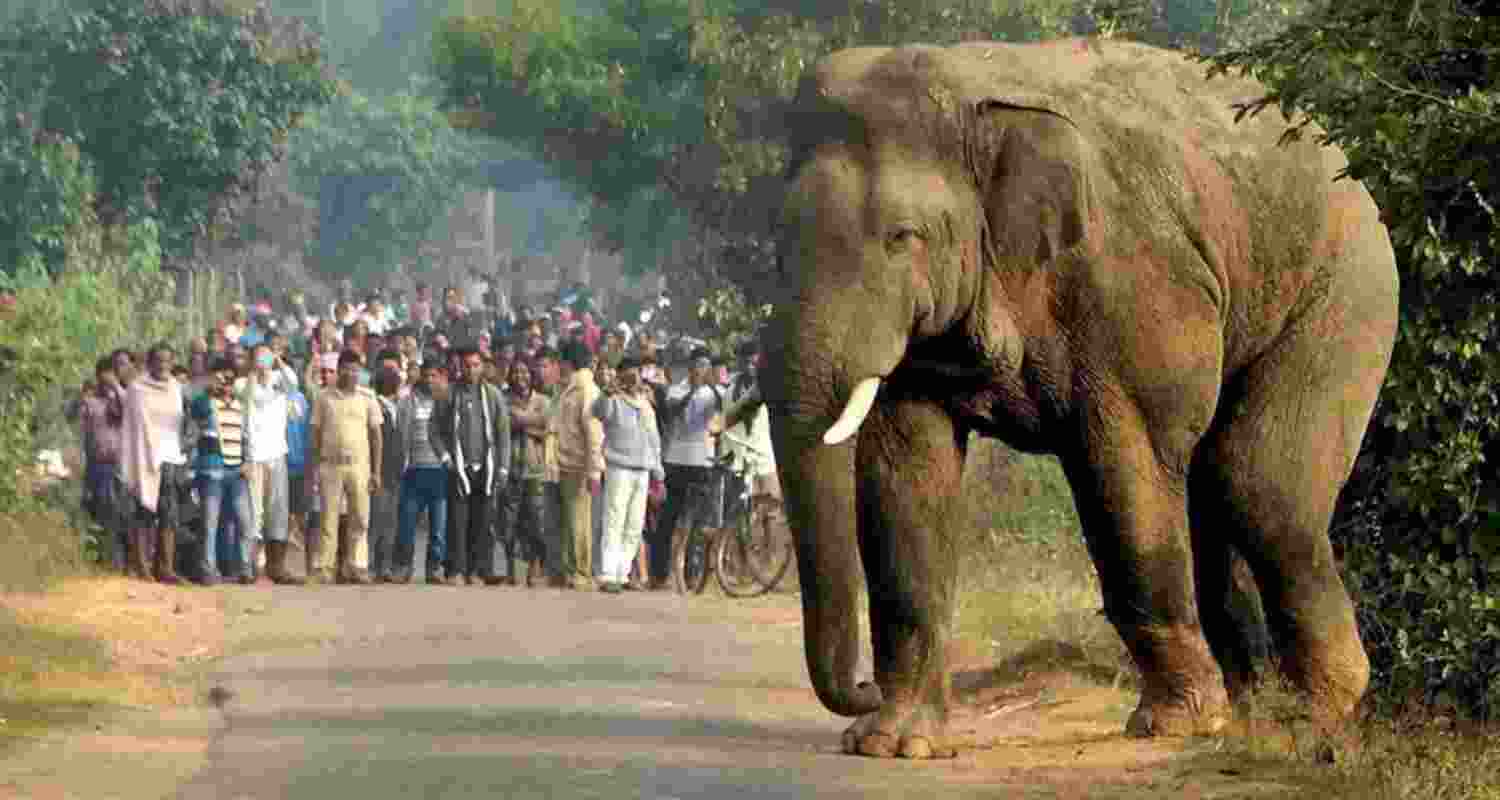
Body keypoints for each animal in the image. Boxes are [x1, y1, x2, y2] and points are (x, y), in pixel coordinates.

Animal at [761, 37, 1398, 759]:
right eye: (780, 238)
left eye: (903, 236)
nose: (862, 689)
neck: (974, 97)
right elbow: (906, 475)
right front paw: (895, 744)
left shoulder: (1128, 285)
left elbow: (1125, 464)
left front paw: (1174, 723)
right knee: (1219, 484)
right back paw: (1255, 717)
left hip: (1345, 295)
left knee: (1258, 485)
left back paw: (1313, 715)